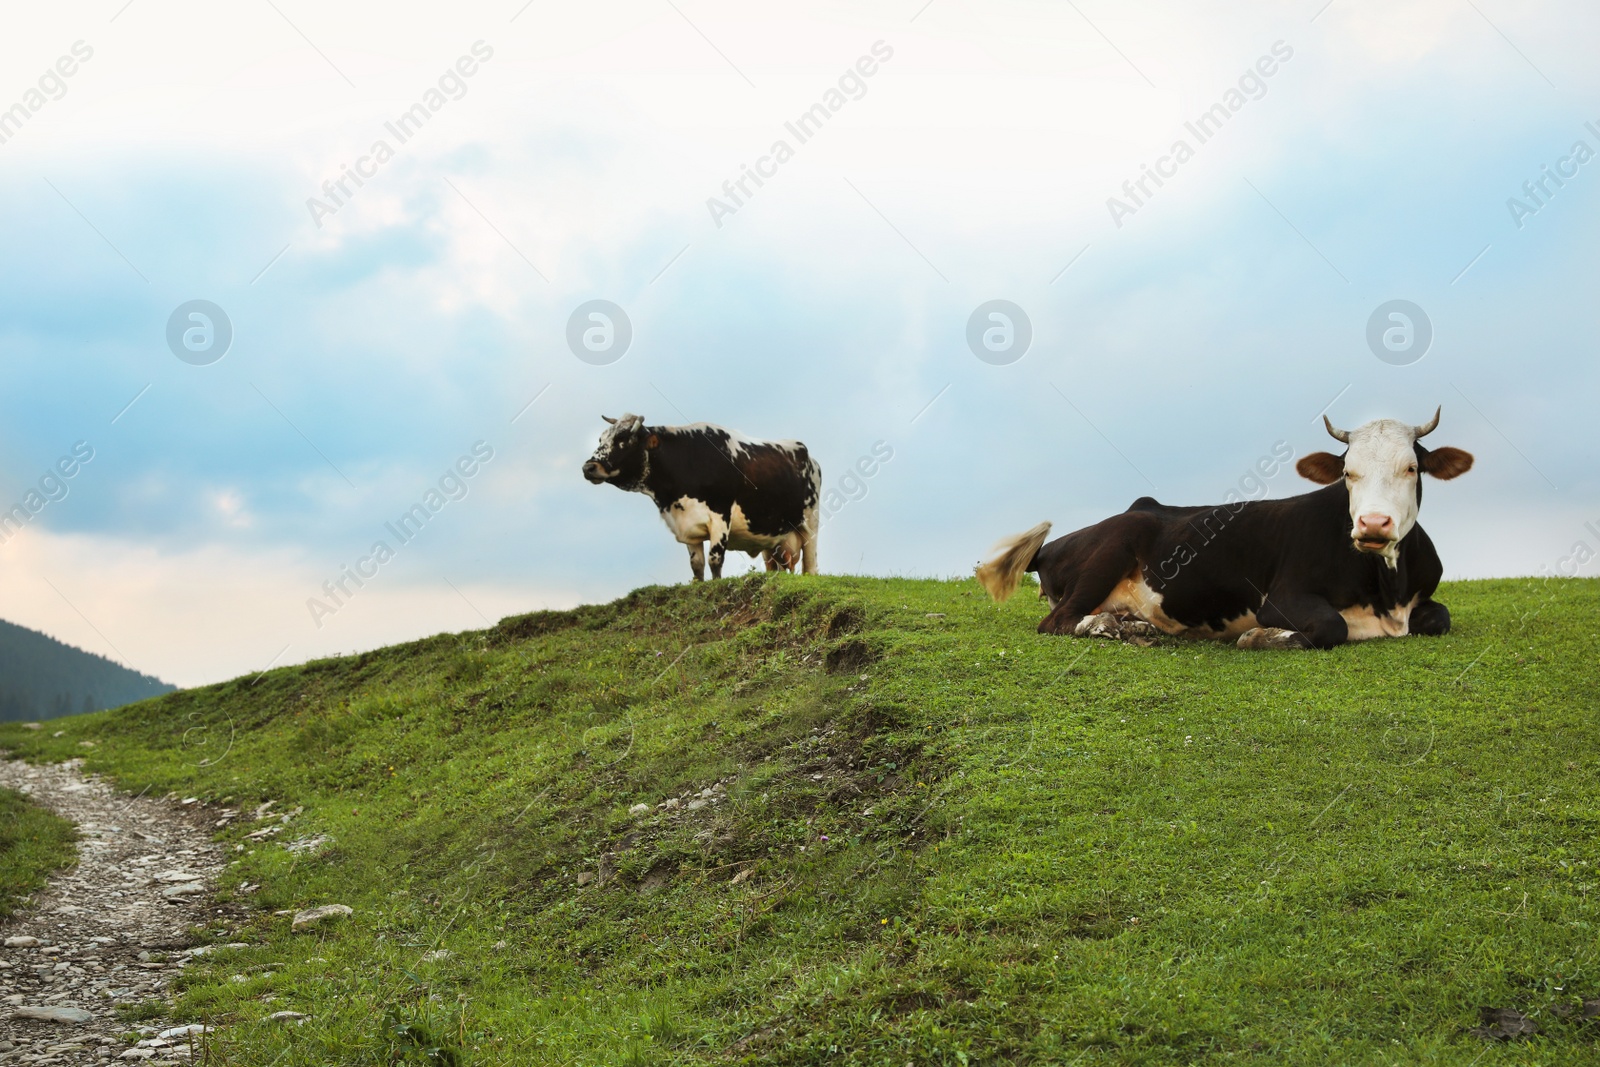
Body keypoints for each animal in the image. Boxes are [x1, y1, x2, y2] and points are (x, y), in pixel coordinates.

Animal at [582, 415, 819, 585]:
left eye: (623, 440)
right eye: (601, 439)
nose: (588, 467)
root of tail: (808, 455)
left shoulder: (720, 514)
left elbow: (715, 559)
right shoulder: (687, 523)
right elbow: (696, 564)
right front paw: (699, 584)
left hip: (809, 521)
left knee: (810, 560)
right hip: (771, 537)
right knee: (773, 563)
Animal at [972, 412, 1472, 652]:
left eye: (1411, 468)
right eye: (1348, 473)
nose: (1372, 524)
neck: (1387, 590)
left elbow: (1440, 617)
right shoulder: (1283, 596)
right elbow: (1331, 625)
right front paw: (1258, 638)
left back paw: (1133, 625)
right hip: (1113, 546)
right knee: (1057, 622)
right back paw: (1109, 628)